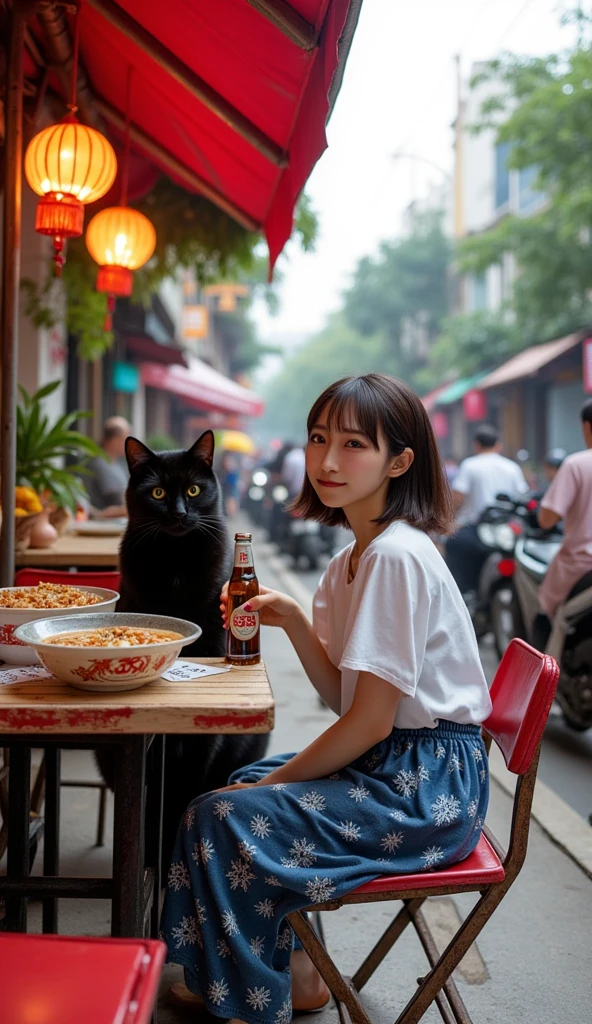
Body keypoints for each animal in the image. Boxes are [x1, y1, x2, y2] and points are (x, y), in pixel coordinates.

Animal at [96, 428, 266, 868]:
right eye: (156, 492)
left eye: (193, 489)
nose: (178, 514)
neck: (175, 560)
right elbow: (150, 805)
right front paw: (151, 857)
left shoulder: (203, 739)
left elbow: (185, 790)